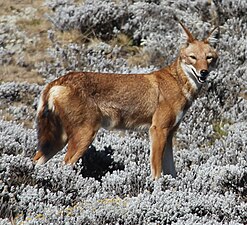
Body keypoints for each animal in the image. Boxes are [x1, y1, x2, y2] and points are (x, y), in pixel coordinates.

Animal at [33, 19, 218, 179]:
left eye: (209, 58)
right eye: (193, 57)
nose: (203, 72)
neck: (178, 82)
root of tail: (57, 81)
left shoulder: (170, 133)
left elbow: (171, 171)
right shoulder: (158, 130)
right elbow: (157, 172)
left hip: (58, 141)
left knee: (35, 161)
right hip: (84, 136)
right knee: (64, 165)